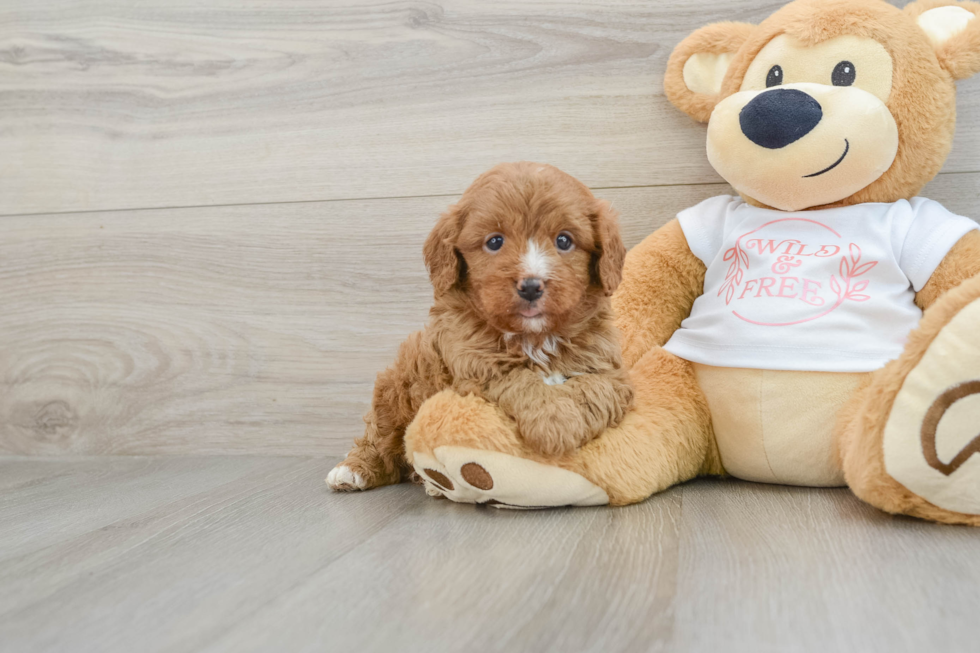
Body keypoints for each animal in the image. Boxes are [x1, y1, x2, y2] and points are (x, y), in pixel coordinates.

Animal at [328, 162, 636, 488]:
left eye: (564, 240)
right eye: (495, 241)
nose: (530, 286)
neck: (535, 337)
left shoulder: (609, 371)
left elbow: (593, 387)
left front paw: (564, 422)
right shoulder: (476, 365)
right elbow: (520, 380)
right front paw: (552, 422)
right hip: (395, 389)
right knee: (380, 435)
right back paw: (353, 469)